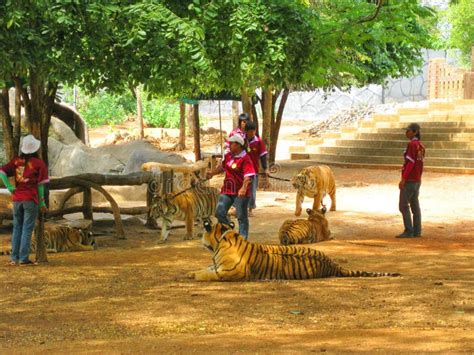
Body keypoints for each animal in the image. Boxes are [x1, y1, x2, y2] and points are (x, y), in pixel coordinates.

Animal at [186, 221, 400, 282]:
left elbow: (209, 275)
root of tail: (333, 264)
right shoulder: (216, 265)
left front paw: (195, 276)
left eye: (204, 231)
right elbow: (205, 269)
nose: (199, 238)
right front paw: (190, 272)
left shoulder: (232, 272)